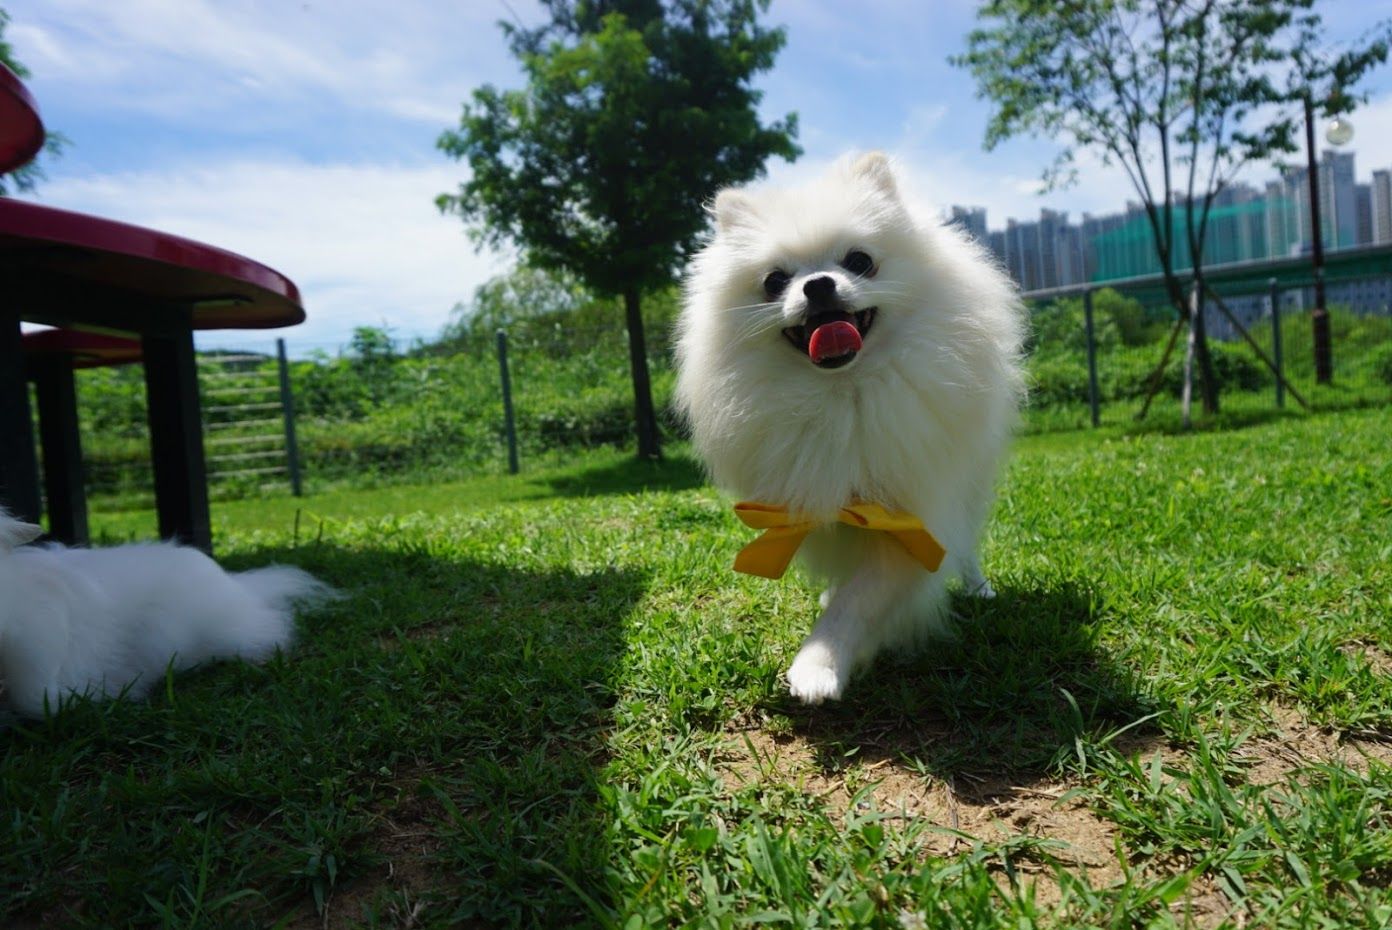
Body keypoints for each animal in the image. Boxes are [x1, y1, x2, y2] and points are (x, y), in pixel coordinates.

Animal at [679, 154, 1030, 704]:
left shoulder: (909, 522)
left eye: (860, 261)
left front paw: (818, 665)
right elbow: (844, 573)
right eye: (774, 281)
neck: (843, 395)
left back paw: (977, 586)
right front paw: (828, 609)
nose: (818, 284)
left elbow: (860, 600)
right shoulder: (815, 503)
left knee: (968, 537)